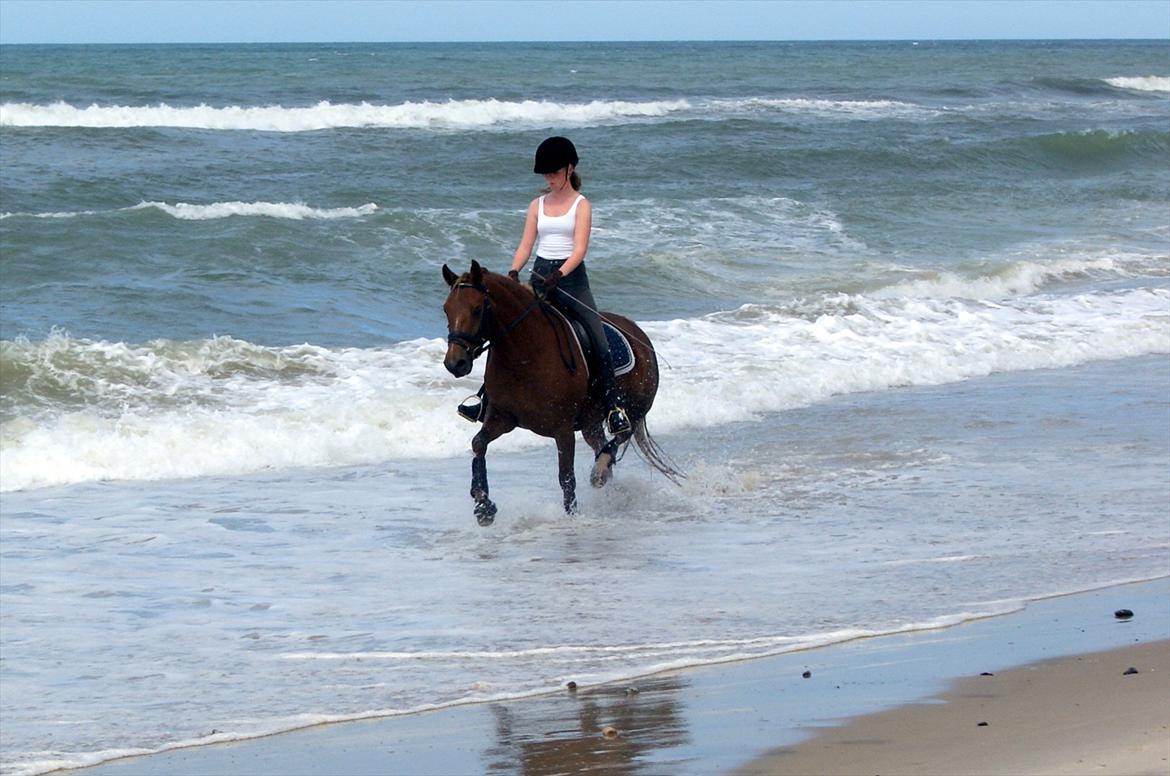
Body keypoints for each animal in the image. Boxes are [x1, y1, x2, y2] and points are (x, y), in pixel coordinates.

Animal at [439, 262, 683, 529]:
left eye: (476, 309)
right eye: (446, 309)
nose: (455, 363)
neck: (524, 353)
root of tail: (640, 334)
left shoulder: (562, 429)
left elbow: (566, 477)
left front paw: (571, 517)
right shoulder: (502, 418)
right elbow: (478, 445)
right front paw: (484, 507)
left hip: (633, 410)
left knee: (619, 436)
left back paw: (599, 471)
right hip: (590, 423)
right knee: (601, 445)